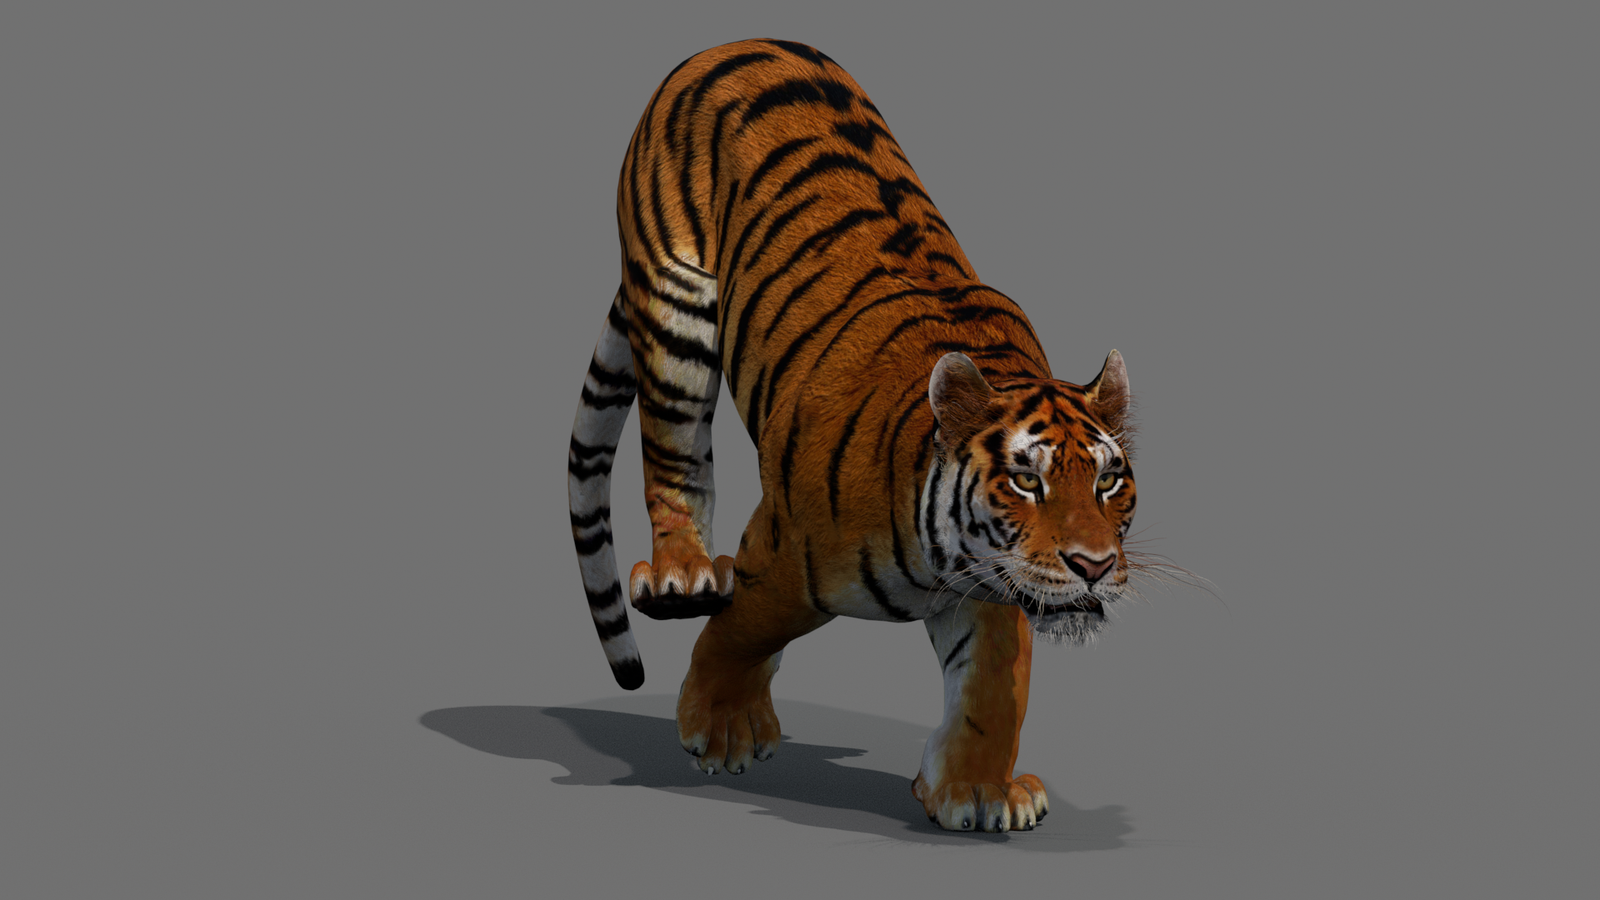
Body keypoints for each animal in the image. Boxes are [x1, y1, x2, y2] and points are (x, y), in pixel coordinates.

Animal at [567, 38, 1139, 833]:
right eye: (1028, 479)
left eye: (1108, 480)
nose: (1093, 565)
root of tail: (732, 43)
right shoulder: (784, 554)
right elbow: (742, 628)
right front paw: (719, 725)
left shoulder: (993, 584)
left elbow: (995, 685)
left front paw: (979, 791)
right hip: (676, 312)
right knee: (672, 457)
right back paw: (684, 571)